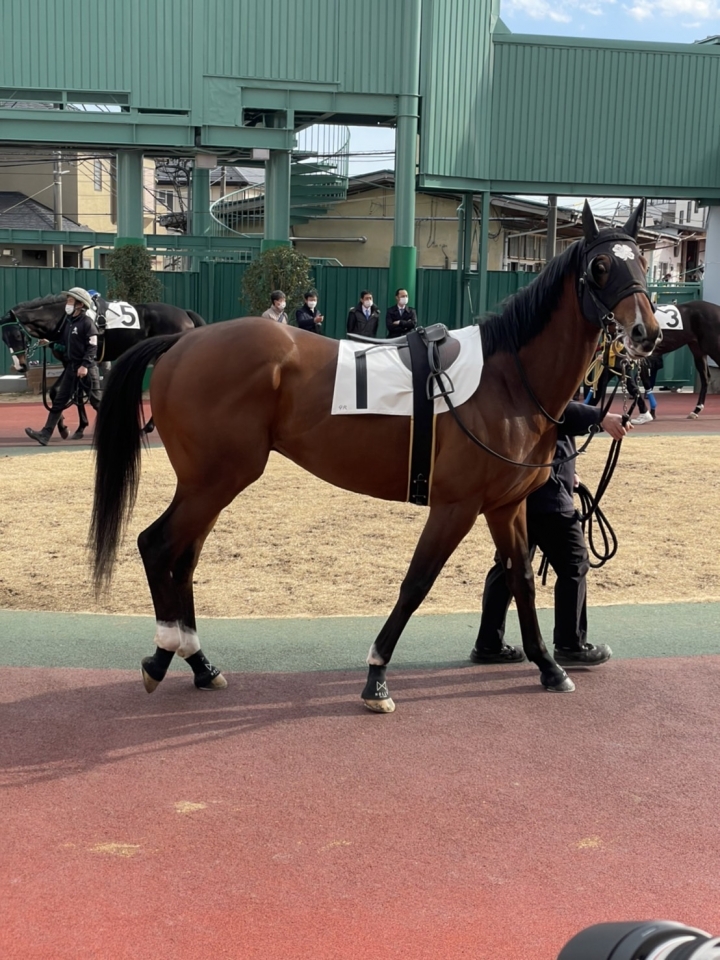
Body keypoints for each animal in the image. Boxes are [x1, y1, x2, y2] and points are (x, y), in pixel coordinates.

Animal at [0, 294, 205, 438]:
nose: (20, 366)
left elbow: (80, 394)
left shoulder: (82, 361)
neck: (65, 320)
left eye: (17, 335)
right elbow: (63, 393)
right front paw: (71, 428)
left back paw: (148, 427)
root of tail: (185, 314)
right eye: (4, 338)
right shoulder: (72, 363)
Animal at [90, 201, 660, 709]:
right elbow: (417, 582)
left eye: (642, 262)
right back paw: (164, 654)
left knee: (182, 555)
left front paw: (548, 665)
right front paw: (377, 677)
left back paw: (199, 663)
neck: (509, 379)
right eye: (600, 267)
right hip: (215, 479)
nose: (646, 333)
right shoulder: (455, 506)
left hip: (211, 483)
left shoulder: (506, 505)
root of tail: (180, 343)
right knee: (158, 545)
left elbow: (519, 577)